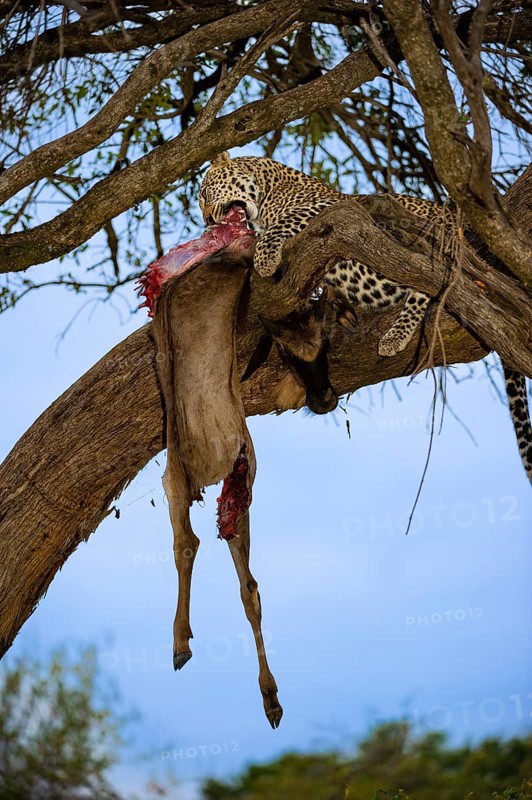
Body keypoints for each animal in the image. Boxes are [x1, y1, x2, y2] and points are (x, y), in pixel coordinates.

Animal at [199, 151, 531, 481]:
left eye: (203, 194)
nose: (207, 220)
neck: (269, 191)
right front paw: (334, 302)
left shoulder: (331, 207)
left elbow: (282, 225)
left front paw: (265, 257)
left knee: (427, 281)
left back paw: (395, 336)